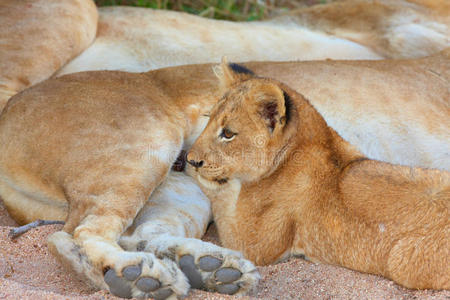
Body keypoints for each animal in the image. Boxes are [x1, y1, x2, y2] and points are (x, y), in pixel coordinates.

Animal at [187, 59, 450, 290]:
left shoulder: (254, 244)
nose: (191, 159)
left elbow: (221, 200)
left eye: (228, 133)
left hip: (402, 262)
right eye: (207, 119)